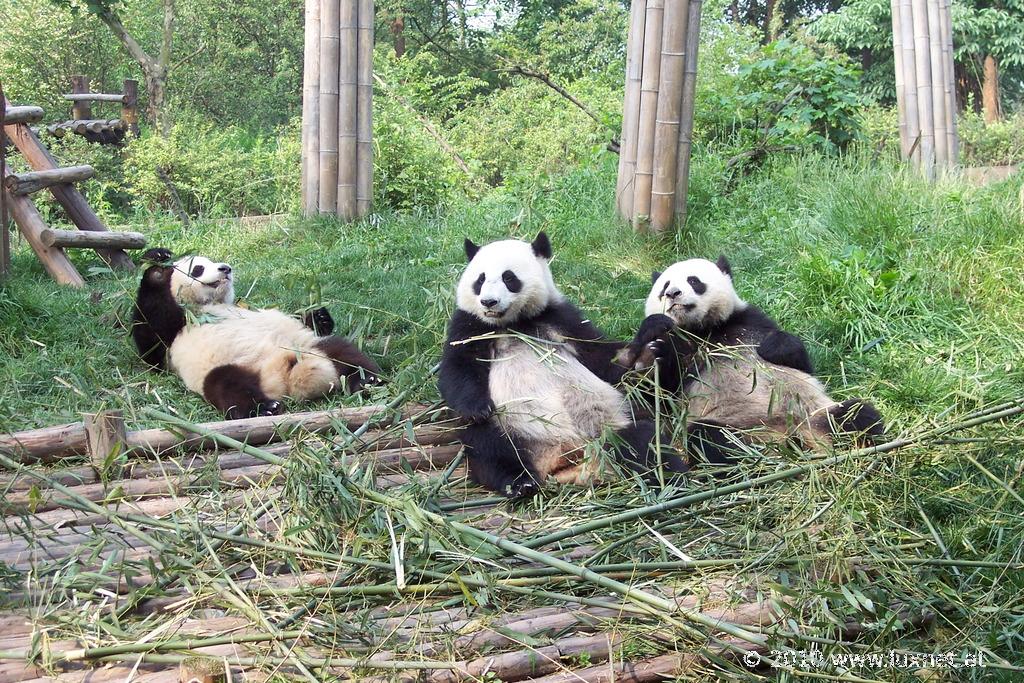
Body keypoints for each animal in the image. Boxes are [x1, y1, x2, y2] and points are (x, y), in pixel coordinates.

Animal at [130, 248, 382, 419]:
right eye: (198, 268)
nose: (225, 268)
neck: (209, 305)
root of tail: (285, 378)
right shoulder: (177, 331)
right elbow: (152, 346)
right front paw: (157, 264)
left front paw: (319, 316)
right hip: (224, 367)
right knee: (227, 385)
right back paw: (266, 408)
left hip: (307, 346)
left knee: (343, 351)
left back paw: (367, 380)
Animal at [436, 233, 684, 497]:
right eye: (480, 280)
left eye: (509, 277)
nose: (488, 302)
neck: (514, 323)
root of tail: (565, 457)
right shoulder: (471, 325)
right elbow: (459, 369)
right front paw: (478, 408)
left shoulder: (560, 317)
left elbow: (602, 359)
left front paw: (650, 336)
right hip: (511, 427)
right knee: (492, 448)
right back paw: (520, 483)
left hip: (609, 426)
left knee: (643, 440)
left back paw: (671, 479)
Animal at [610, 258, 884, 464]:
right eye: (664, 286)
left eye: (693, 281)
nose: (672, 293)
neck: (703, 330)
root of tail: (781, 435)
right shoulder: (681, 350)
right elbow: (659, 394)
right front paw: (655, 340)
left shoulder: (748, 322)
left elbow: (800, 362)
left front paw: (775, 346)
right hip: (732, 426)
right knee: (709, 440)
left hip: (814, 414)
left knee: (857, 416)